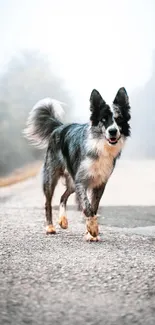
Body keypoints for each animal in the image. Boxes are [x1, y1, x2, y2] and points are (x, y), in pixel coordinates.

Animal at [23, 87, 131, 239]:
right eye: (103, 119)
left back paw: (63, 221)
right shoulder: (81, 181)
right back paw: (50, 227)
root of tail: (59, 127)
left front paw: (90, 233)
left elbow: (94, 206)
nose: (112, 131)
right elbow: (87, 206)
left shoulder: (100, 183)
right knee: (48, 203)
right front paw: (92, 229)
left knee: (63, 197)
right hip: (52, 176)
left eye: (119, 119)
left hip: (72, 183)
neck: (99, 145)